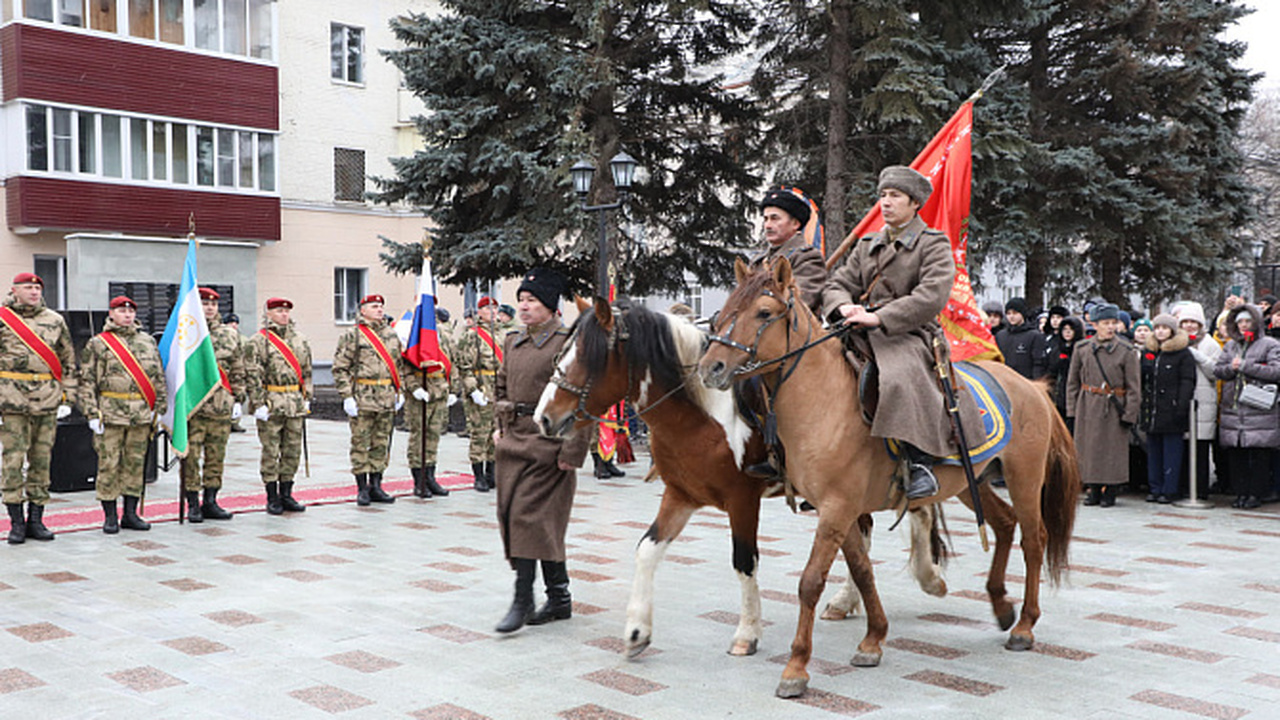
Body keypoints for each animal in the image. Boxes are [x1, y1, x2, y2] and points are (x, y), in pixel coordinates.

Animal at [535, 295, 947, 655]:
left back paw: (928, 577)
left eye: (589, 357)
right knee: (866, 530)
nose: (543, 418)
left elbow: (744, 561)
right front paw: (637, 630)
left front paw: (747, 633)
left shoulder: (742, 499)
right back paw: (849, 600)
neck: (702, 414)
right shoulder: (680, 495)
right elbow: (647, 550)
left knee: (917, 509)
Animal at [701, 257, 1080, 696]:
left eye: (763, 313)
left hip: (1024, 477)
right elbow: (862, 570)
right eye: (726, 309)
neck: (822, 399)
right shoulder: (839, 510)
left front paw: (796, 667)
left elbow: (810, 582)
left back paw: (1024, 626)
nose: (711, 368)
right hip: (973, 481)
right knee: (1004, 523)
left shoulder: (837, 508)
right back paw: (1001, 605)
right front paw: (872, 639)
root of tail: (1031, 386)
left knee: (1034, 540)